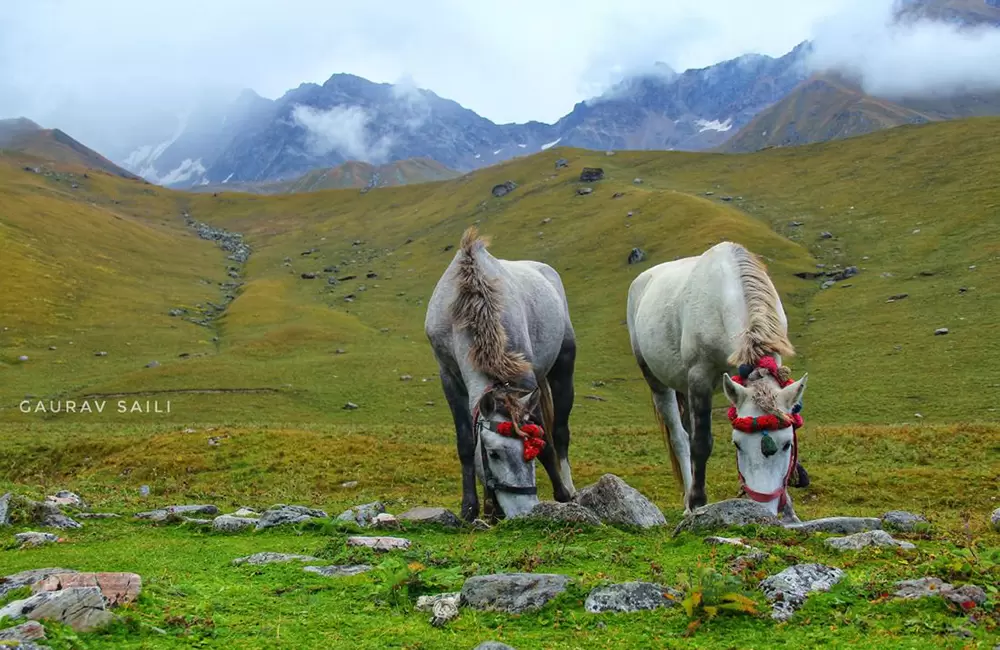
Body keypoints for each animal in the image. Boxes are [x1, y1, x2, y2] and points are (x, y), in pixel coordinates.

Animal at [628, 240, 808, 520]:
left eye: (787, 444)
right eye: (737, 444)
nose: (764, 509)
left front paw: (789, 511)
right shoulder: (699, 377)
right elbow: (701, 443)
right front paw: (698, 502)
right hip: (657, 381)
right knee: (680, 438)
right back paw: (688, 500)